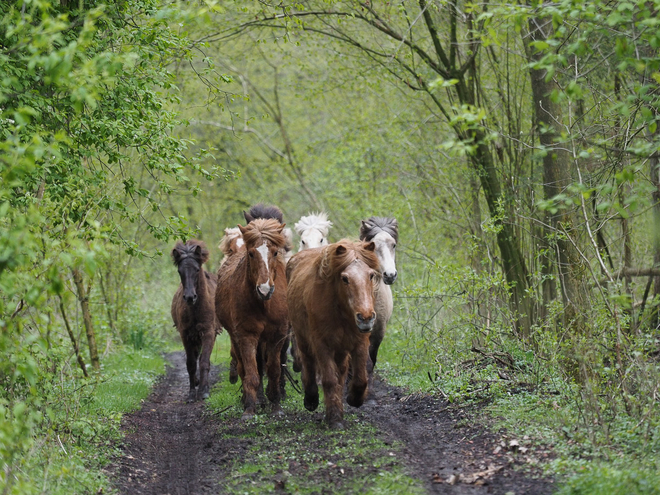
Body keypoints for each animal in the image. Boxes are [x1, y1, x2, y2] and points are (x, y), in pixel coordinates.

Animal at [170, 240, 219, 404]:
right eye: (180, 271)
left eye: (197, 270)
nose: (190, 297)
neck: (195, 308)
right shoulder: (185, 334)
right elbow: (191, 363)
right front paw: (192, 393)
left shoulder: (208, 333)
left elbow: (204, 361)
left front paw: (204, 391)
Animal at [215, 218, 290, 418]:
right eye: (251, 254)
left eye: (275, 252)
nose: (264, 289)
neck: (263, 304)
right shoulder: (246, 336)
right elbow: (251, 373)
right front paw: (249, 407)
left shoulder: (277, 335)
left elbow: (273, 371)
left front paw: (276, 405)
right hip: (236, 338)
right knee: (244, 367)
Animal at [284, 241, 382, 430]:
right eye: (345, 278)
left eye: (371, 275)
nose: (365, 317)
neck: (341, 311)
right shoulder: (322, 345)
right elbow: (329, 379)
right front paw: (335, 418)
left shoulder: (359, 342)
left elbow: (360, 377)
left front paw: (354, 399)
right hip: (303, 339)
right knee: (308, 364)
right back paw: (311, 399)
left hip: (341, 349)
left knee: (341, 372)